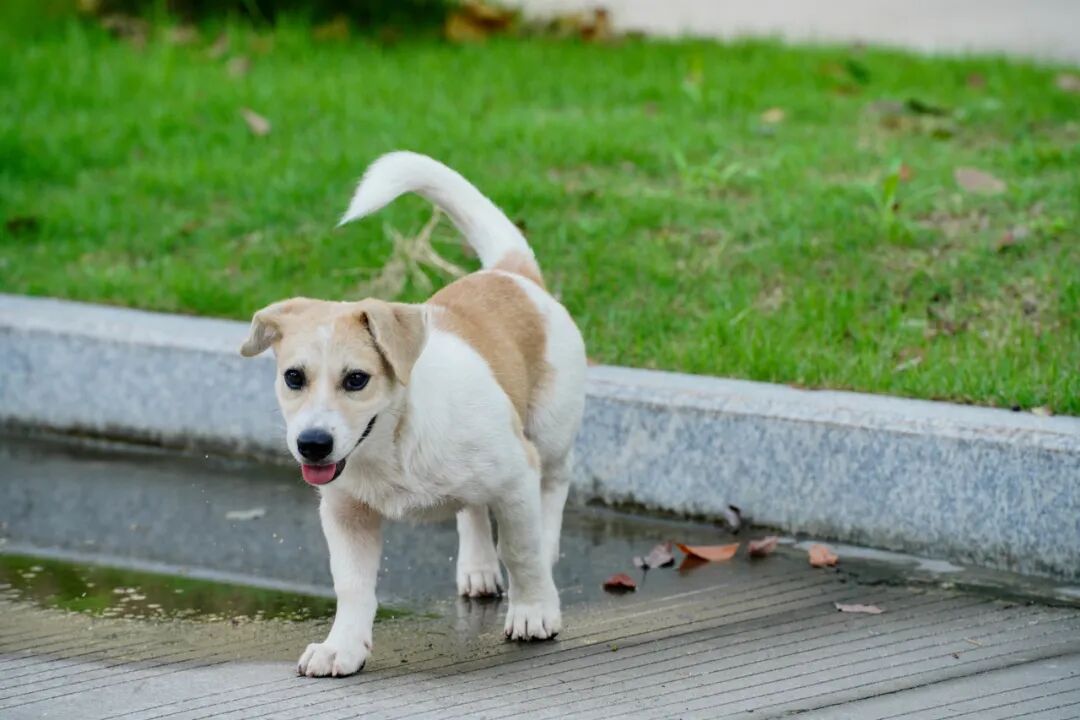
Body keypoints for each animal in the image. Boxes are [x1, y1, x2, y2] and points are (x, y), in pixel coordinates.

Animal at [240, 152, 586, 677]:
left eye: (357, 380)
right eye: (293, 377)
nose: (312, 445)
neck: (394, 441)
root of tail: (512, 274)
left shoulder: (515, 477)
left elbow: (520, 551)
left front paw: (533, 611)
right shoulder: (345, 511)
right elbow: (352, 585)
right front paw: (342, 647)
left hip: (549, 435)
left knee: (551, 493)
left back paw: (543, 556)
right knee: (472, 510)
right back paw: (478, 568)